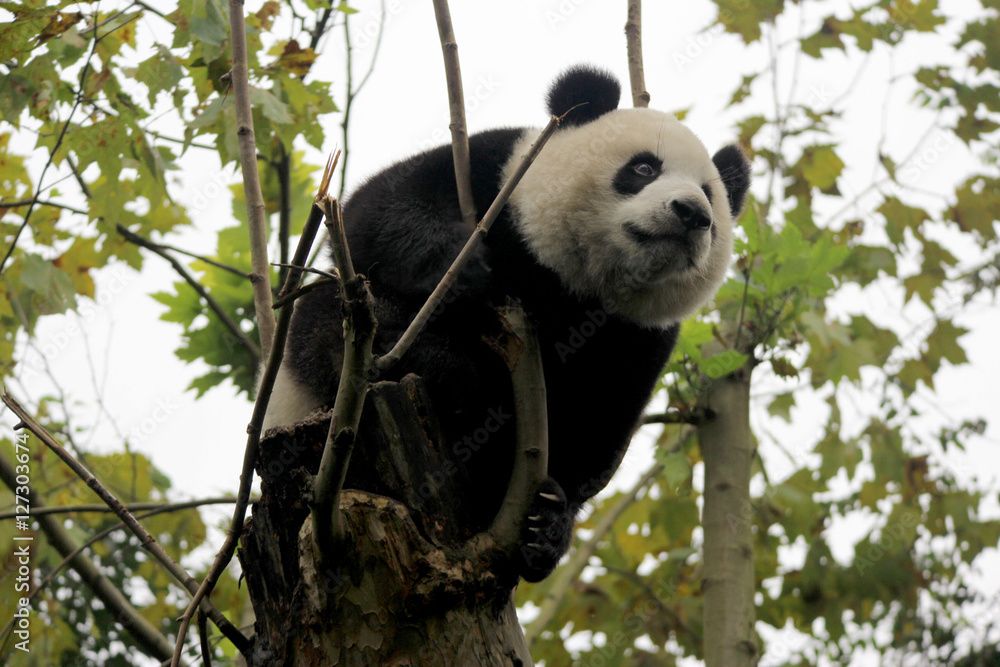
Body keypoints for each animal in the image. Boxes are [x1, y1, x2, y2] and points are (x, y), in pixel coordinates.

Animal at [263, 65, 750, 582]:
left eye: (712, 198)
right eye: (643, 169)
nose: (692, 213)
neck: (572, 282)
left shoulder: (637, 335)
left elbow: (598, 425)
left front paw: (547, 527)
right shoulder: (498, 172)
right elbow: (377, 213)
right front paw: (461, 267)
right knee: (333, 327)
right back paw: (437, 366)